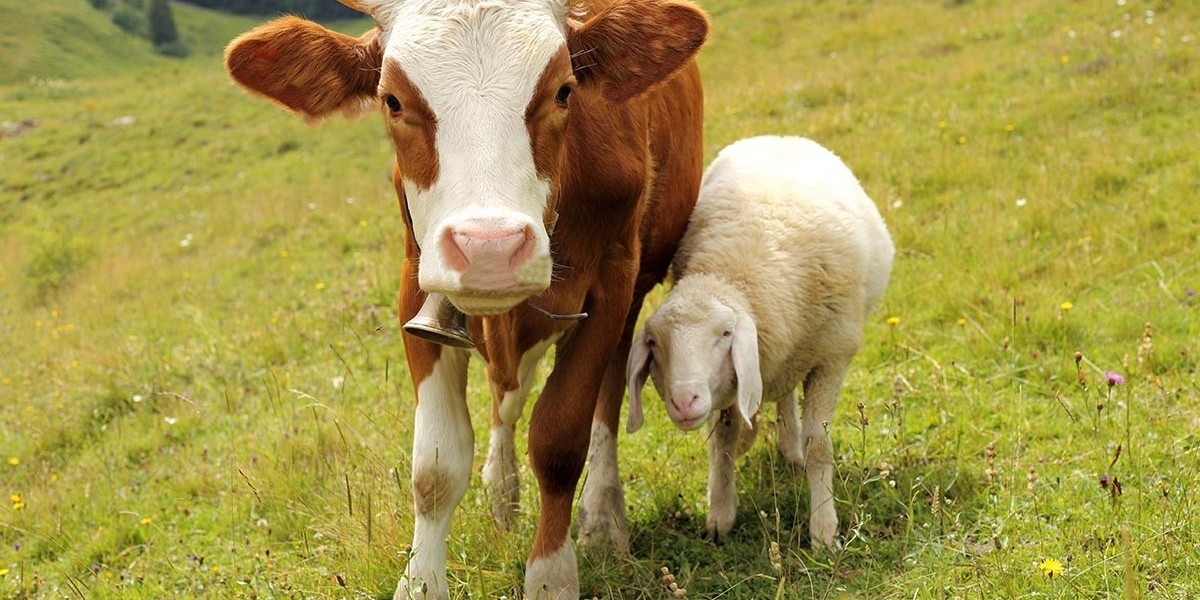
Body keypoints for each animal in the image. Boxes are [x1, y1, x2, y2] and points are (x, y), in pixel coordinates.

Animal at [224, 0, 707, 597]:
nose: (489, 249)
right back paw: (502, 491)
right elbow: (437, 462)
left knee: (607, 392)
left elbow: (560, 440)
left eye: (564, 90)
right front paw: (421, 582)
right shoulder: (416, 281)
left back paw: (602, 516)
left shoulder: (615, 278)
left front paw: (551, 575)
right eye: (393, 100)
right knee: (508, 397)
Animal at [625, 135, 894, 547]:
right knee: (783, 394)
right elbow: (723, 440)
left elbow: (819, 445)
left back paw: (793, 452)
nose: (684, 401)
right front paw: (720, 514)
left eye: (725, 333)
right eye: (653, 342)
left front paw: (823, 529)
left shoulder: (832, 357)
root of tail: (779, 137)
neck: (733, 272)